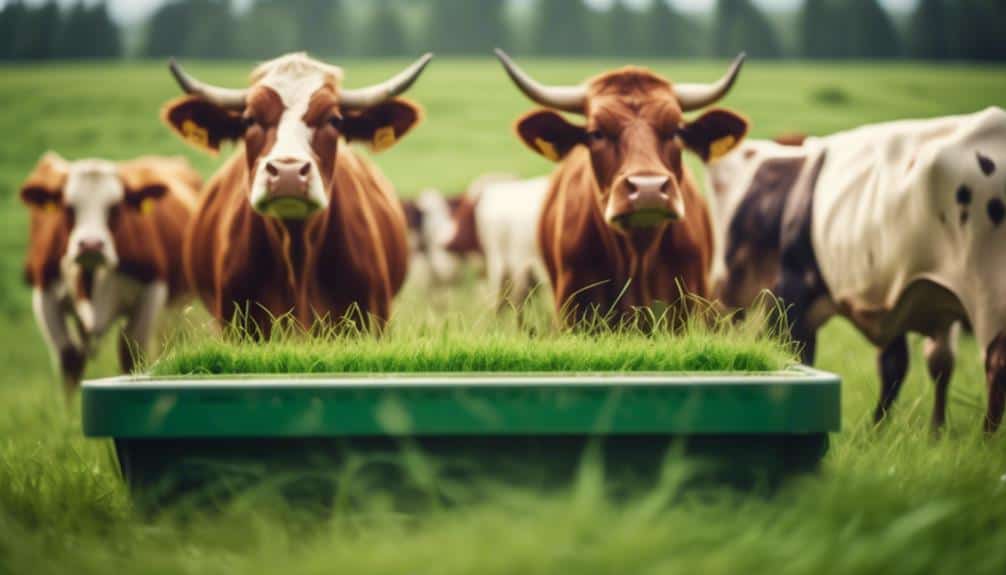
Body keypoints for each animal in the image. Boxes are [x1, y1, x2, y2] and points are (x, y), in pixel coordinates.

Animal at [20, 152, 199, 395]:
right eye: (68, 208)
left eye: (115, 208)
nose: (91, 245)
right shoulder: (44, 292)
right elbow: (69, 358)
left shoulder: (152, 289)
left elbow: (132, 352)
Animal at [705, 107, 1006, 433]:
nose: (720, 288)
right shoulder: (900, 298)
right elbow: (906, 364)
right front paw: (896, 432)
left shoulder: (793, 290)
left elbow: (796, 353)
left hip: (989, 296)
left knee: (996, 365)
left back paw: (986, 439)